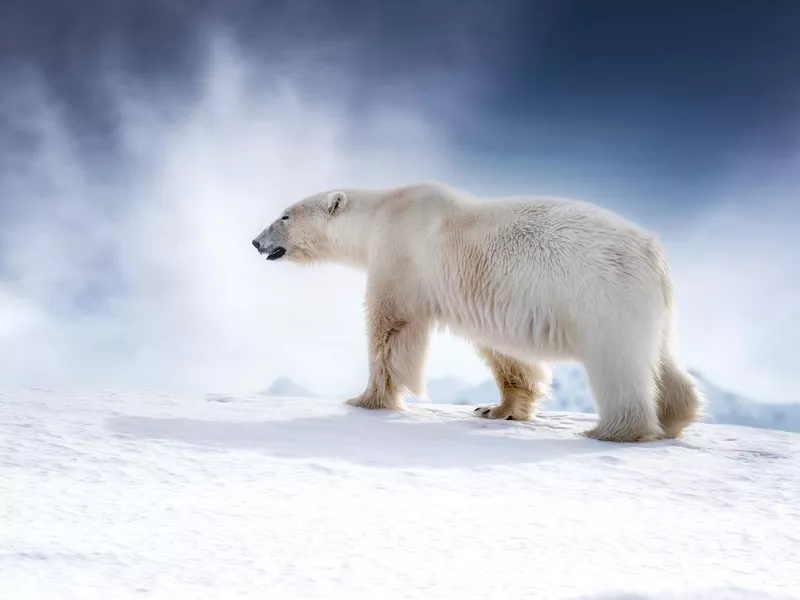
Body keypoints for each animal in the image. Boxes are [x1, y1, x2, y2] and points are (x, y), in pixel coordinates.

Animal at [253, 180, 704, 442]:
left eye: (284, 215)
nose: (256, 242)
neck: (384, 212)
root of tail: (652, 250)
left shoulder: (401, 259)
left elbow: (391, 328)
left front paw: (366, 400)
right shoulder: (484, 293)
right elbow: (504, 351)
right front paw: (498, 409)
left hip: (601, 294)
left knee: (618, 363)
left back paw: (611, 431)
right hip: (648, 304)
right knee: (661, 358)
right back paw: (675, 416)